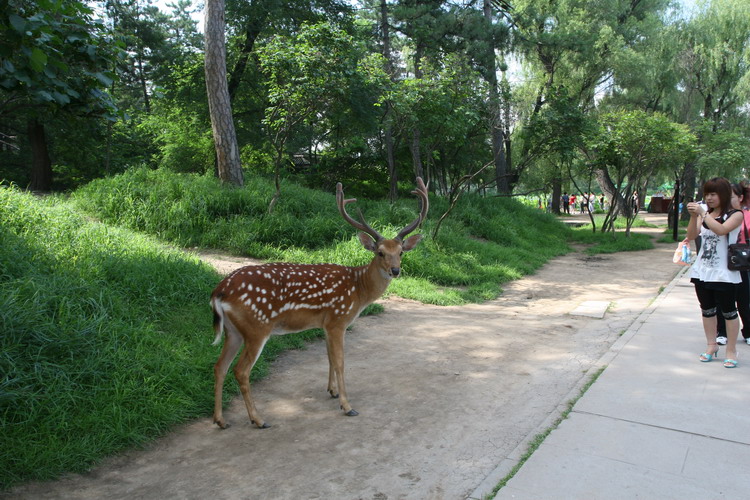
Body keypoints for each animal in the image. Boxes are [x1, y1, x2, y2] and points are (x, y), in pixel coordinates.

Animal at [209, 178, 428, 428]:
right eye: (380, 252)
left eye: (401, 252)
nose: (395, 270)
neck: (358, 289)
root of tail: (219, 292)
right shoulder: (338, 319)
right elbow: (340, 361)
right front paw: (347, 406)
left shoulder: (325, 323)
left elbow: (329, 357)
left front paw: (332, 391)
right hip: (257, 327)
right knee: (241, 370)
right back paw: (258, 419)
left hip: (234, 331)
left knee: (219, 366)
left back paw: (220, 420)